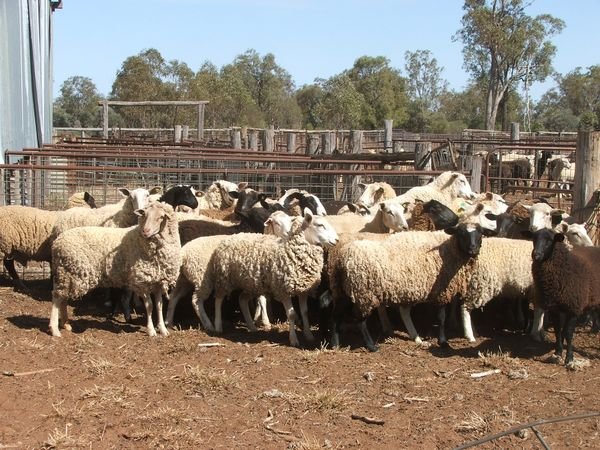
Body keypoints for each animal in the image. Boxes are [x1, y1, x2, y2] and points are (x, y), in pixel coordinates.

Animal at [48, 201, 180, 338]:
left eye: (161, 217)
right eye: (145, 215)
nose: (145, 231)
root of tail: (57, 242)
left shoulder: (158, 281)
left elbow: (159, 306)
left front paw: (163, 329)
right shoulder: (141, 280)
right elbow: (149, 306)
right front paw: (151, 330)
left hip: (66, 274)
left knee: (62, 298)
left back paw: (65, 324)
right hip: (69, 272)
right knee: (57, 297)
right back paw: (55, 329)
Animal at [528, 229, 600, 366]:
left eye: (550, 240)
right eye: (533, 238)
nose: (536, 255)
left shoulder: (573, 308)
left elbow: (568, 333)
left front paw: (569, 358)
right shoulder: (554, 308)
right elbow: (558, 331)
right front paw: (557, 353)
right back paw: (595, 328)